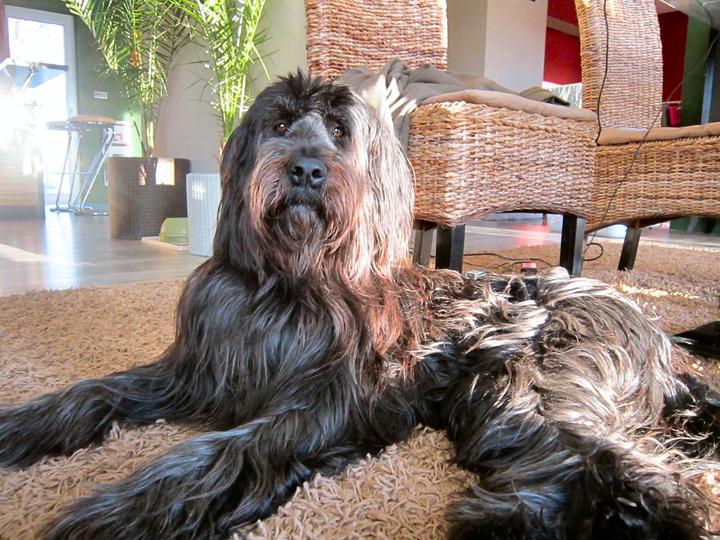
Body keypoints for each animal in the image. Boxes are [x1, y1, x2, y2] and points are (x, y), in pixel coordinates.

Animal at [1, 73, 719, 540]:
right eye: (280, 124)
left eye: (341, 131)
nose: (307, 170)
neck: (290, 285)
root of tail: (659, 336)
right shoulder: (194, 372)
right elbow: (92, 391)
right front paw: (19, 427)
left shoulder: (327, 407)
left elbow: (216, 454)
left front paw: (114, 512)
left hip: (527, 379)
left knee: (630, 473)